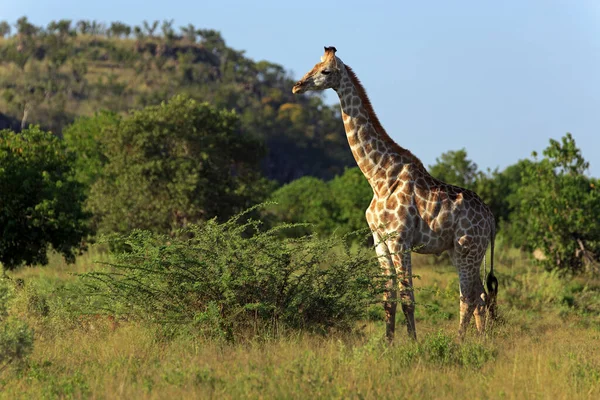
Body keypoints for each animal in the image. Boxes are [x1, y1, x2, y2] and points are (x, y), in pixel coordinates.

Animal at [292, 47, 496, 340]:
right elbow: (388, 298)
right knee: (479, 296)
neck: (378, 177)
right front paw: (387, 343)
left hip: (467, 248)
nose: (297, 86)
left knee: (468, 297)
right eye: (313, 65)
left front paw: (413, 343)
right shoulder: (379, 241)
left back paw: (459, 343)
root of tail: (491, 219)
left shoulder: (400, 240)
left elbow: (407, 297)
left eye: (325, 71)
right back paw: (481, 341)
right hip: (464, 252)